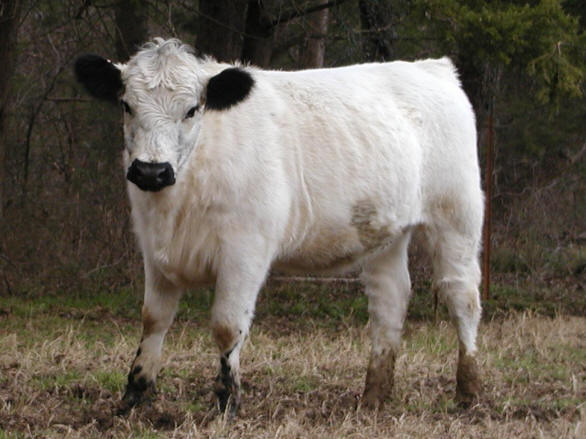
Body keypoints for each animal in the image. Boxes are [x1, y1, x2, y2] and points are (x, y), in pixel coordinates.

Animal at [75, 37, 482, 416]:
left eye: (191, 110)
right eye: (126, 105)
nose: (151, 171)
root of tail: (431, 67)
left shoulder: (245, 250)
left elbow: (226, 326)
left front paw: (227, 402)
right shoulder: (155, 250)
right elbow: (153, 319)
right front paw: (133, 398)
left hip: (457, 216)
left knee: (461, 297)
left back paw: (468, 392)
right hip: (385, 233)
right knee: (390, 301)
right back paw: (374, 397)